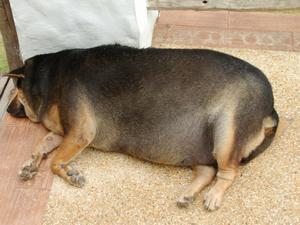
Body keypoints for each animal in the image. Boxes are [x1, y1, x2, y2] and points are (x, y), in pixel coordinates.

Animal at [4, 45, 278, 211]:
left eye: (12, 90)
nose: (5, 110)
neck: (47, 80)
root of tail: (271, 109)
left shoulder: (80, 132)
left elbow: (54, 161)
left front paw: (70, 173)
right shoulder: (65, 133)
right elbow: (42, 145)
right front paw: (30, 164)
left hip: (226, 133)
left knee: (228, 172)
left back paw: (214, 195)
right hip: (197, 144)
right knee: (208, 171)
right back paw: (188, 194)